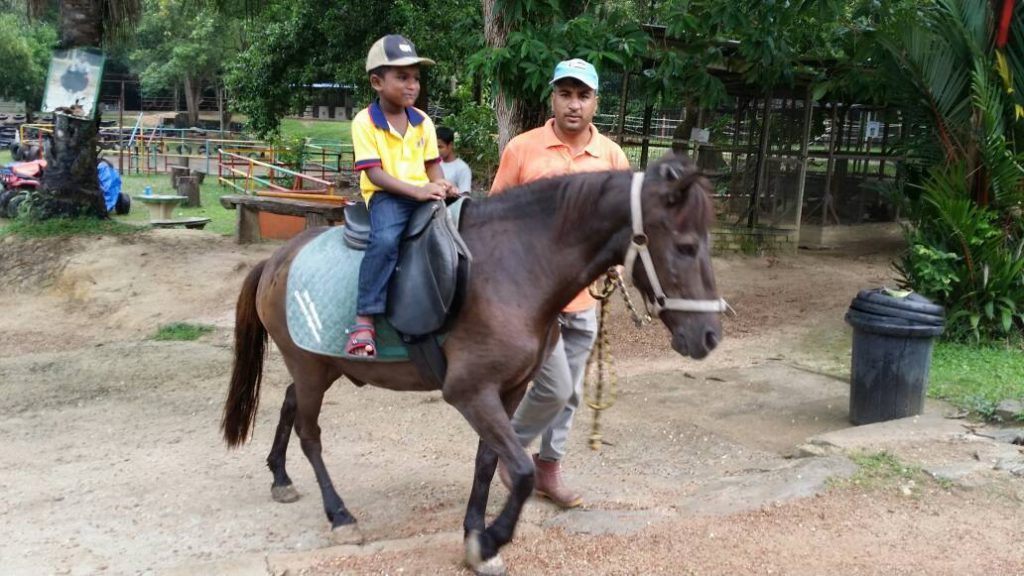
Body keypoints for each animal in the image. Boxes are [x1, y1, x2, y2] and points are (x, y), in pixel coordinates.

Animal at [221, 153, 724, 573]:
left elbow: (488, 461)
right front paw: (491, 540)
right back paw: (339, 514)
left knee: (289, 404)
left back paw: (280, 475)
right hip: (310, 368)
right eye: (684, 246)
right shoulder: (469, 392)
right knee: (310, 434)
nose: (710, 335)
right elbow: (521, 471)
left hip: (324, 367)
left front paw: (474, 534)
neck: (515, 267)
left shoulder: (509, 389)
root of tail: (276, 260)